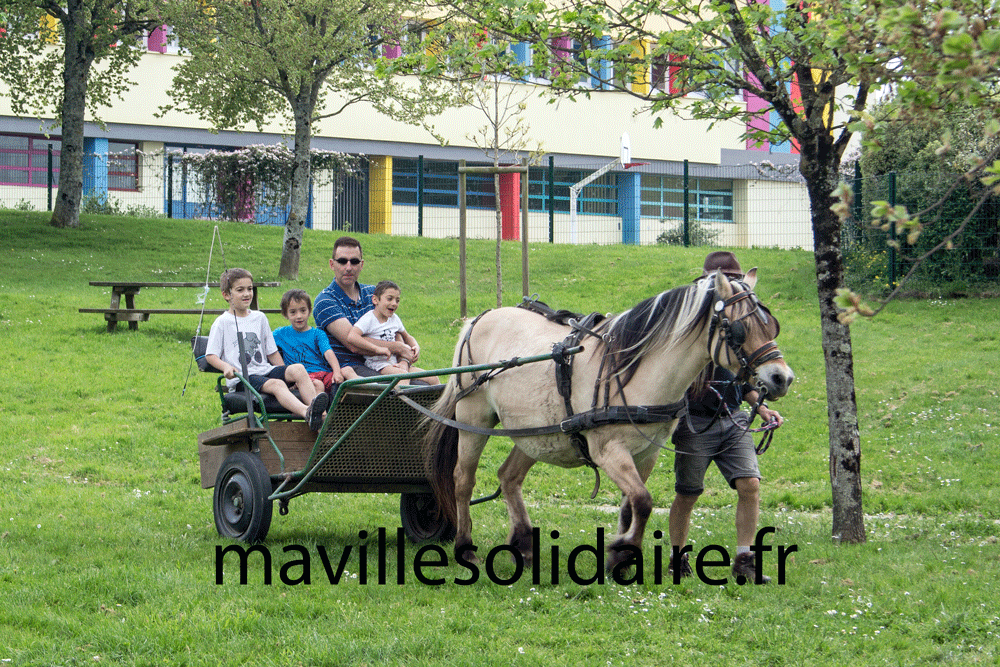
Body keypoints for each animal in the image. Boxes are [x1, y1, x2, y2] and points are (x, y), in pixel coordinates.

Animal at [424, 268, 796, 572]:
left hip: (535, 433)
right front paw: (621, 552)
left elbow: (633, 506)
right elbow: (644, 501)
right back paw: (465, 547)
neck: (635, 372)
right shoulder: (609, 451)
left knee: (509, 477)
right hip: (475, 418)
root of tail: (480, 317)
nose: (782, 378)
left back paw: (525, 545)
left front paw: (623, 556)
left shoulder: (647, 453)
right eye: (740, 329)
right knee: (463, 480)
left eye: (770, 324)